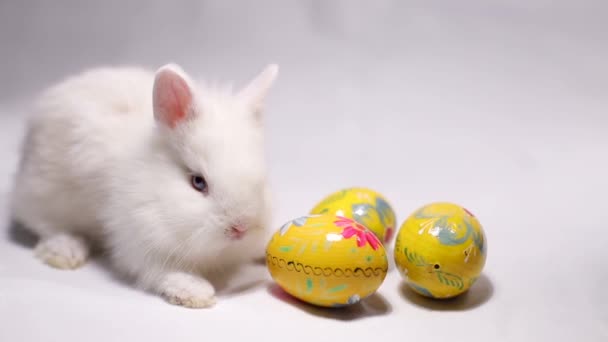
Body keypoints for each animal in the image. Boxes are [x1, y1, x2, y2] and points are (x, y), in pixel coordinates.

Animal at [8, 62, 280, 310]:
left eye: (262, 180)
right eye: (198, 182)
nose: (240, 228)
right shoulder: (139, 242)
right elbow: (161, 271)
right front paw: (195, 291)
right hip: (42, 193)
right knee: (44, 224)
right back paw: (66, 250)